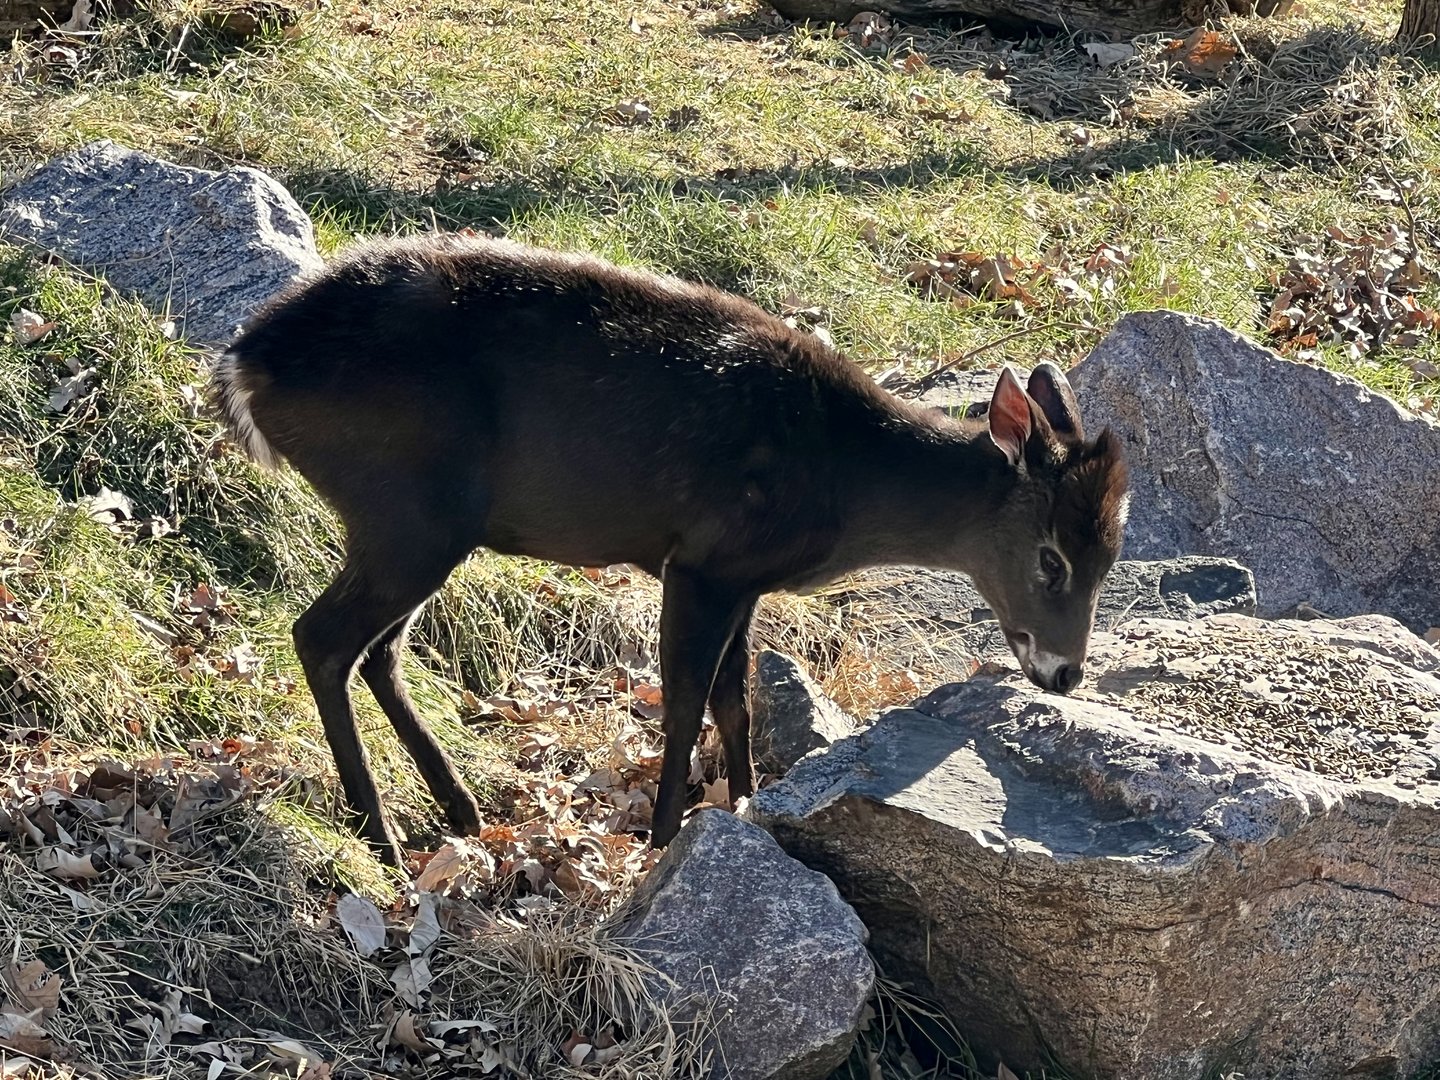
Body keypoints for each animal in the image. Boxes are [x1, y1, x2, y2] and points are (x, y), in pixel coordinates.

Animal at [210, 232, 1129, 868]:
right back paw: (383, 837)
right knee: (323, 637)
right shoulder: (702, 559)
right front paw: (662, 835)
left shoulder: (747, 579)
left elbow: (737, 699)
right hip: (405, 508)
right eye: (1051, 556)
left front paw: (749, 804)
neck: (844, 478)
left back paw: (461, 812)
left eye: (1112, 554)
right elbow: (685, 698)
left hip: (418, 527)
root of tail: (244, 366)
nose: (1065, 672)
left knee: (379, 649)